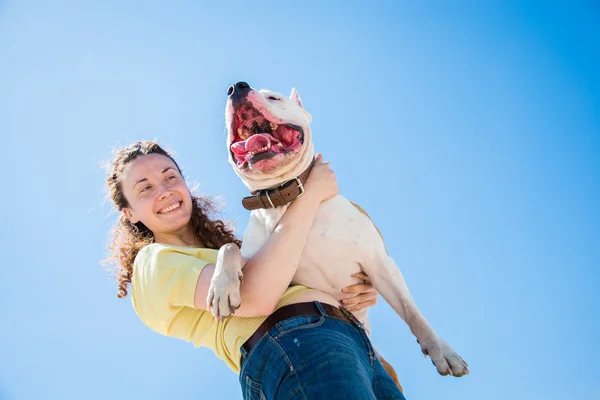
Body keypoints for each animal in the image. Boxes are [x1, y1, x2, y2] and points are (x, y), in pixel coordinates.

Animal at [209, 82, 472, 382]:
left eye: (273, 97)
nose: (237, 87)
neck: (285, 199)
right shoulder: (264, 269)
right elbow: (228, 248)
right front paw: (221, 287)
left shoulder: (379, 262)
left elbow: (412, 312)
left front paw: (441, 350)